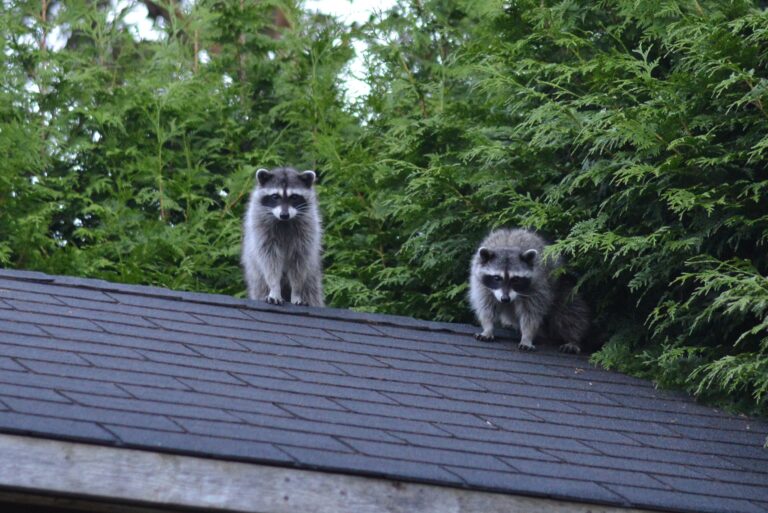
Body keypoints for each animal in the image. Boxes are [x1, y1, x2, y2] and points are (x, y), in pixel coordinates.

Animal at [241, 166, 324, 307]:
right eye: (275, 196)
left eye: (294, 197)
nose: (284, 215)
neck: (284, 222)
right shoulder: (261, 230)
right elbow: (270, 262)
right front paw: (274, 289)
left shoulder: (306, 232)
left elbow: (298, 264)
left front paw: (296, 292)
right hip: (256, 277)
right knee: (260, 287)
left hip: (312, 277)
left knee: (312, 292)